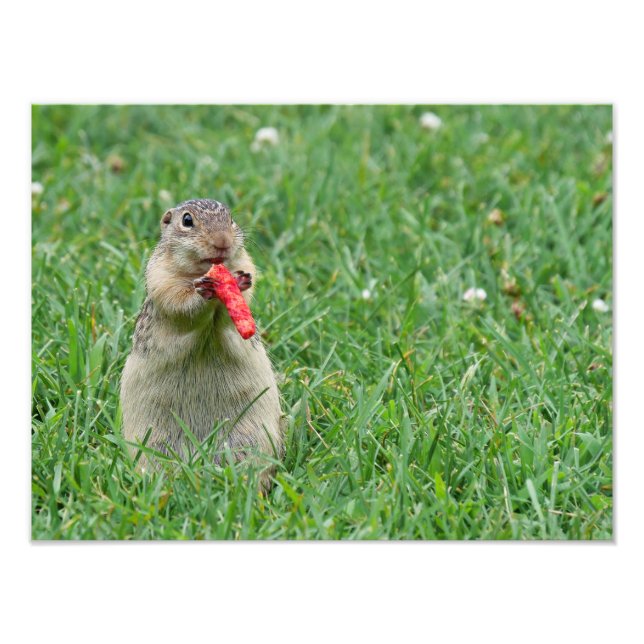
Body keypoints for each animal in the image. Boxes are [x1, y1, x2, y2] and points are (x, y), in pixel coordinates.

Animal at [120, 198, 284, 489]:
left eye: (231, 219)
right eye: (187, 221)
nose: (223, 241)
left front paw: (240, 282)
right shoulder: (163, 281)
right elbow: (182, 306)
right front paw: (204, 291)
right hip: (155, 443)